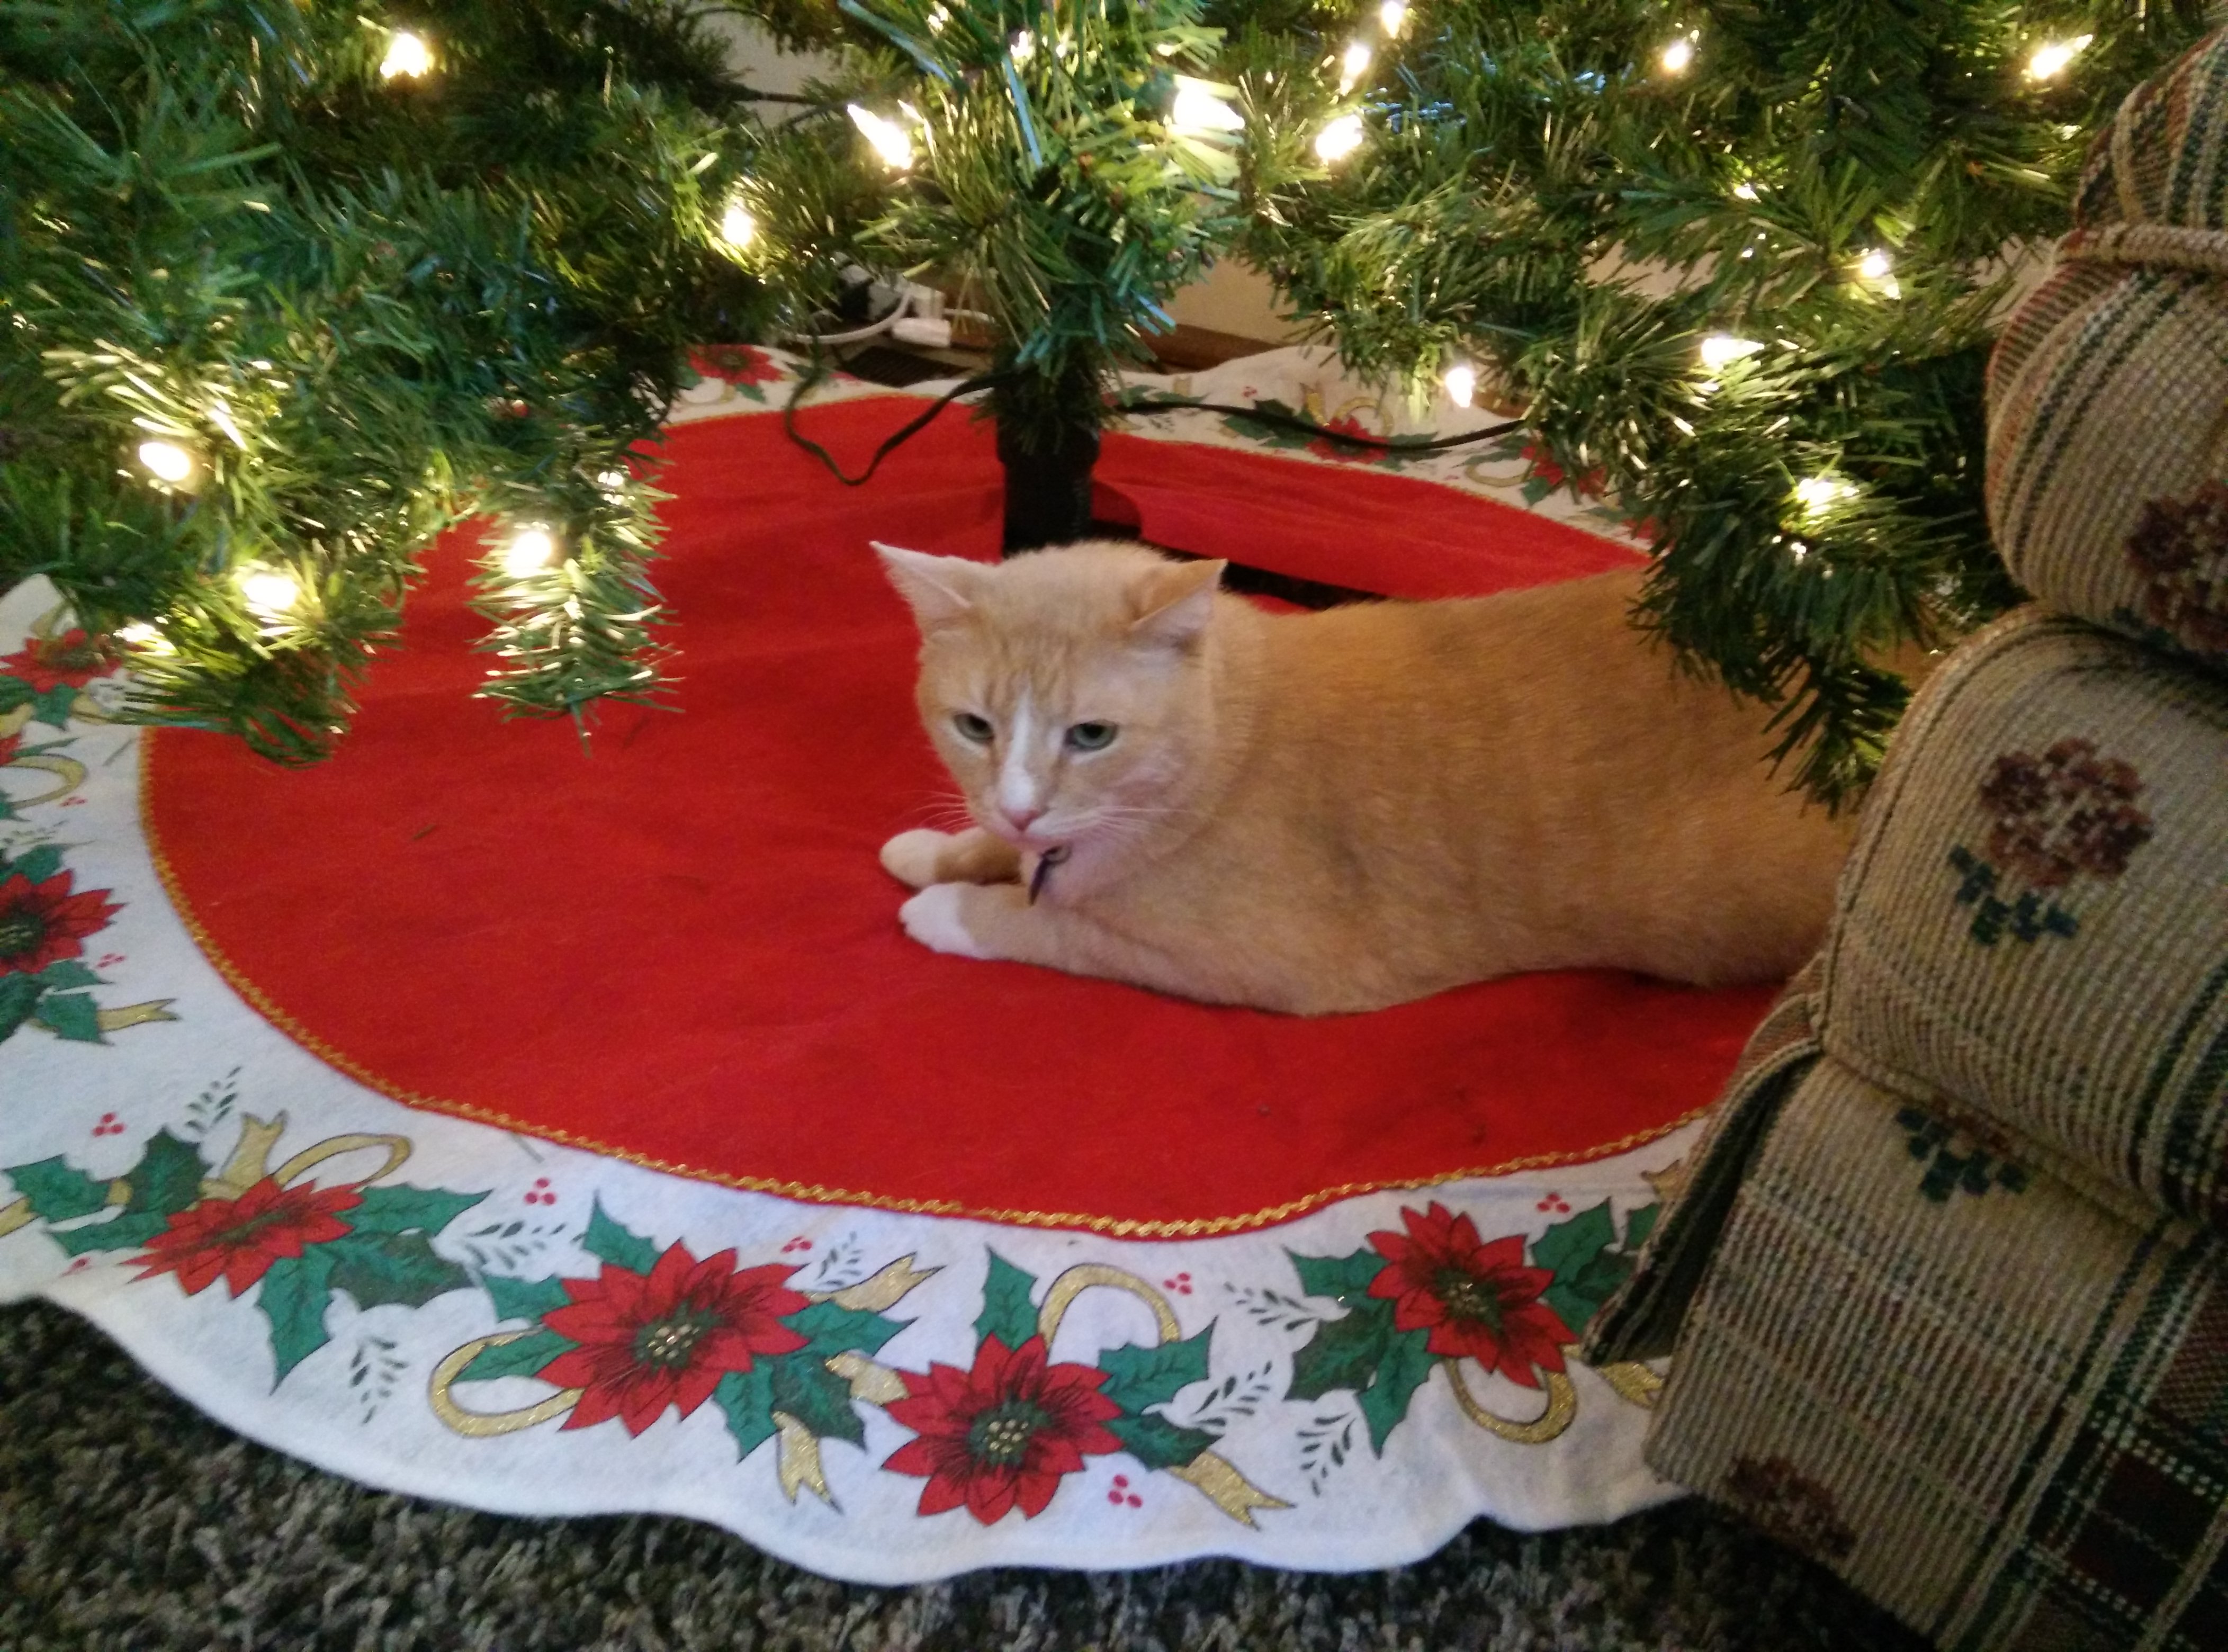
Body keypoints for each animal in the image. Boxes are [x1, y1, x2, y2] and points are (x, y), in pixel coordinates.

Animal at [877, 542, 1854, 1012]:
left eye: (1090, 735)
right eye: (975, 727)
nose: (1019, 808)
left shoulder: (1245, 962)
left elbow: (1056, 927)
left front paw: (953, 908)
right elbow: (995, 851)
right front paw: (938, 850)